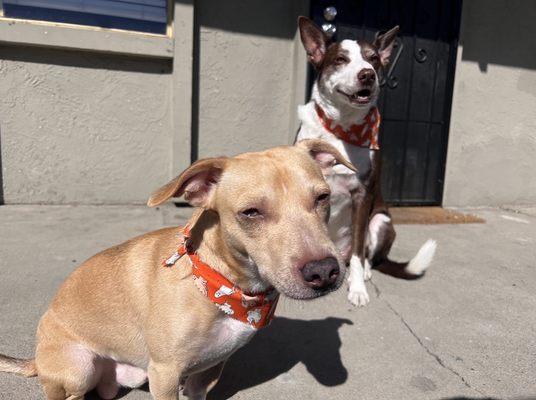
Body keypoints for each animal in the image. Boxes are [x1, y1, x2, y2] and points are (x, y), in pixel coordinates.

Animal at [1, 141, 356, 400]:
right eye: (251, 213)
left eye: (323, 198)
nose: (324, 271)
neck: (222, 286)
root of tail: (37, 358)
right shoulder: (165, 373)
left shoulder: (207, 373)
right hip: (79, 368)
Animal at [296, 17, 438, 306]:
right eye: (340, 59)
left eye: (373, 59)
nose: (368, 74)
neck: (341, 129)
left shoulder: (362, 196)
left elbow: (359, 252)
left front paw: (358, 288)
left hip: (381, 221)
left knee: (365, 255)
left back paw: (363, 273)